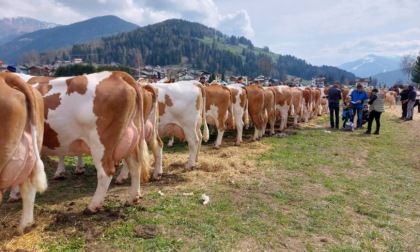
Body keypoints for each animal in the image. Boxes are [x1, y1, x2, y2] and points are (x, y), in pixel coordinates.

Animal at [20, 71, 151, 213]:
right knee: (135, 165)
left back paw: (93, 206)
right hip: (131, 138)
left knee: (106, 172)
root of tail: (116, 74)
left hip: (100, 143)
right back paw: (133, 198)